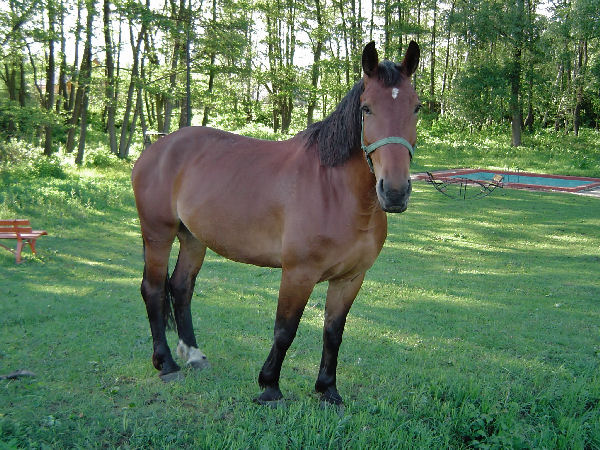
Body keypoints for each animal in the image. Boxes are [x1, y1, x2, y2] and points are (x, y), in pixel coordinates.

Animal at [132, 40, 422, 406]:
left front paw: (328, 390)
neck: (335, 191)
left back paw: (194, 355)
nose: (395, 191)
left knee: (181, 287)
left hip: (194, 239)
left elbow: (333, 332)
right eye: (367, 109)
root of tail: (157, 148)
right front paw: (269, 386)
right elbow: (285, 330)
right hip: (158, 234)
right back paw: (166, 364)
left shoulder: (351, 278)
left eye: (416, 108)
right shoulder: (298, 274)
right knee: (154, 289)